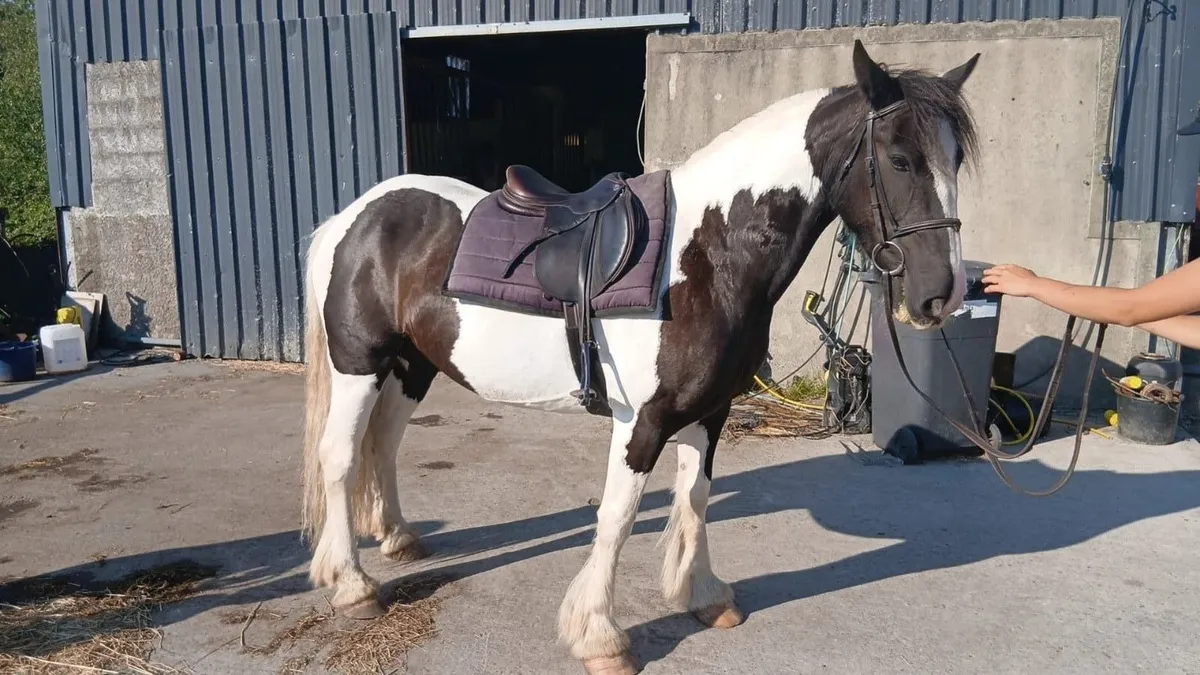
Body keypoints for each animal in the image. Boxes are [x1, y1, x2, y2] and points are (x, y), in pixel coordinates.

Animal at [299, 40, 980, 674]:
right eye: (899, 159)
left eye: (955, 159)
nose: (942, 295)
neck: (705, 255)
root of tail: (354, 215)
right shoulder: (642, 422)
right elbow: (618, 518)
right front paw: (600, 636)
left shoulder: (710, 412)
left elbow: (695, 500)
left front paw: (704, 597)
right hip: (360, 363)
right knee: (339, 456)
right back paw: (353, 587)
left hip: (412, 365)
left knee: (383, 445)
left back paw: (398, 538)